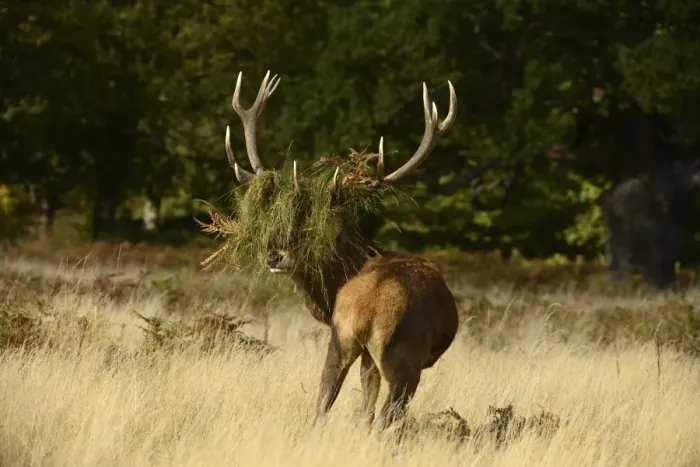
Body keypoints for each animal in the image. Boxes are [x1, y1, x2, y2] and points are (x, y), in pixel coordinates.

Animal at [222, 70, 460, 430]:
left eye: (309, 224)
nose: (274, 255)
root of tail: (368, 310)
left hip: (341, 340)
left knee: (323, 402)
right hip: (403, 355)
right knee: (387, 416)